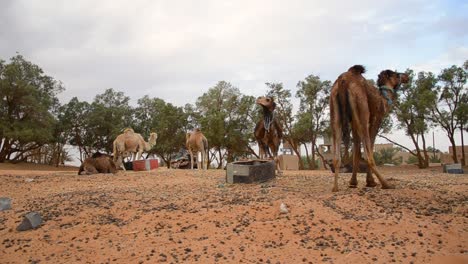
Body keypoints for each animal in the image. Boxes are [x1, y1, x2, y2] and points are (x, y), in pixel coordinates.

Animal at [330, 64, 410, 192]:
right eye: (396, 74)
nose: (407, 76)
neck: (383, 99)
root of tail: (344, 81)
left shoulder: (353, 122)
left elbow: (357, 151)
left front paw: (353, 182)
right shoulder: (376, 118)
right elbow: (371, 146)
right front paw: (370, 182)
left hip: (334, 108)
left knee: (337, 154)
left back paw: (335, 187)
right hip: (362, 108)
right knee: (368, 156)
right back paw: (386, 184)